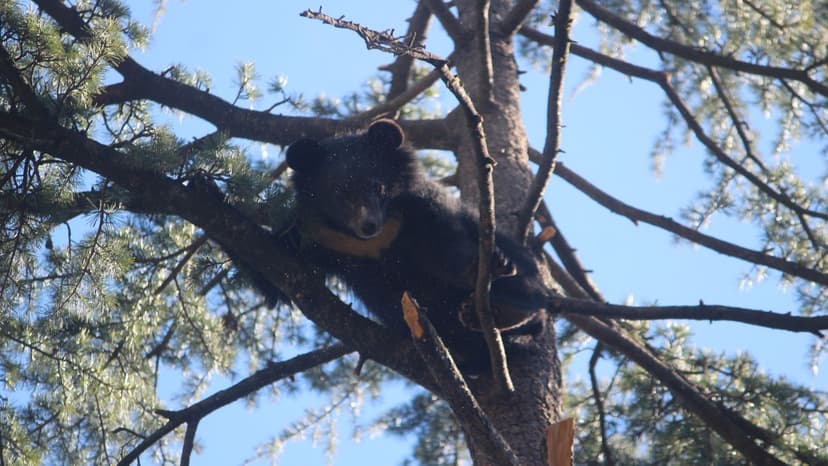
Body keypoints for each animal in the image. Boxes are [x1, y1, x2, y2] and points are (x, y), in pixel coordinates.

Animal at [283, 119, 548, 369]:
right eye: (340, 194)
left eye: (378, 186)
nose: (368, 225)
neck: (374, 239)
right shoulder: (324, 237)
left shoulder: (420, 209)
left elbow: (446, 244)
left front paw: (485, 267)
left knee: (527, 292)